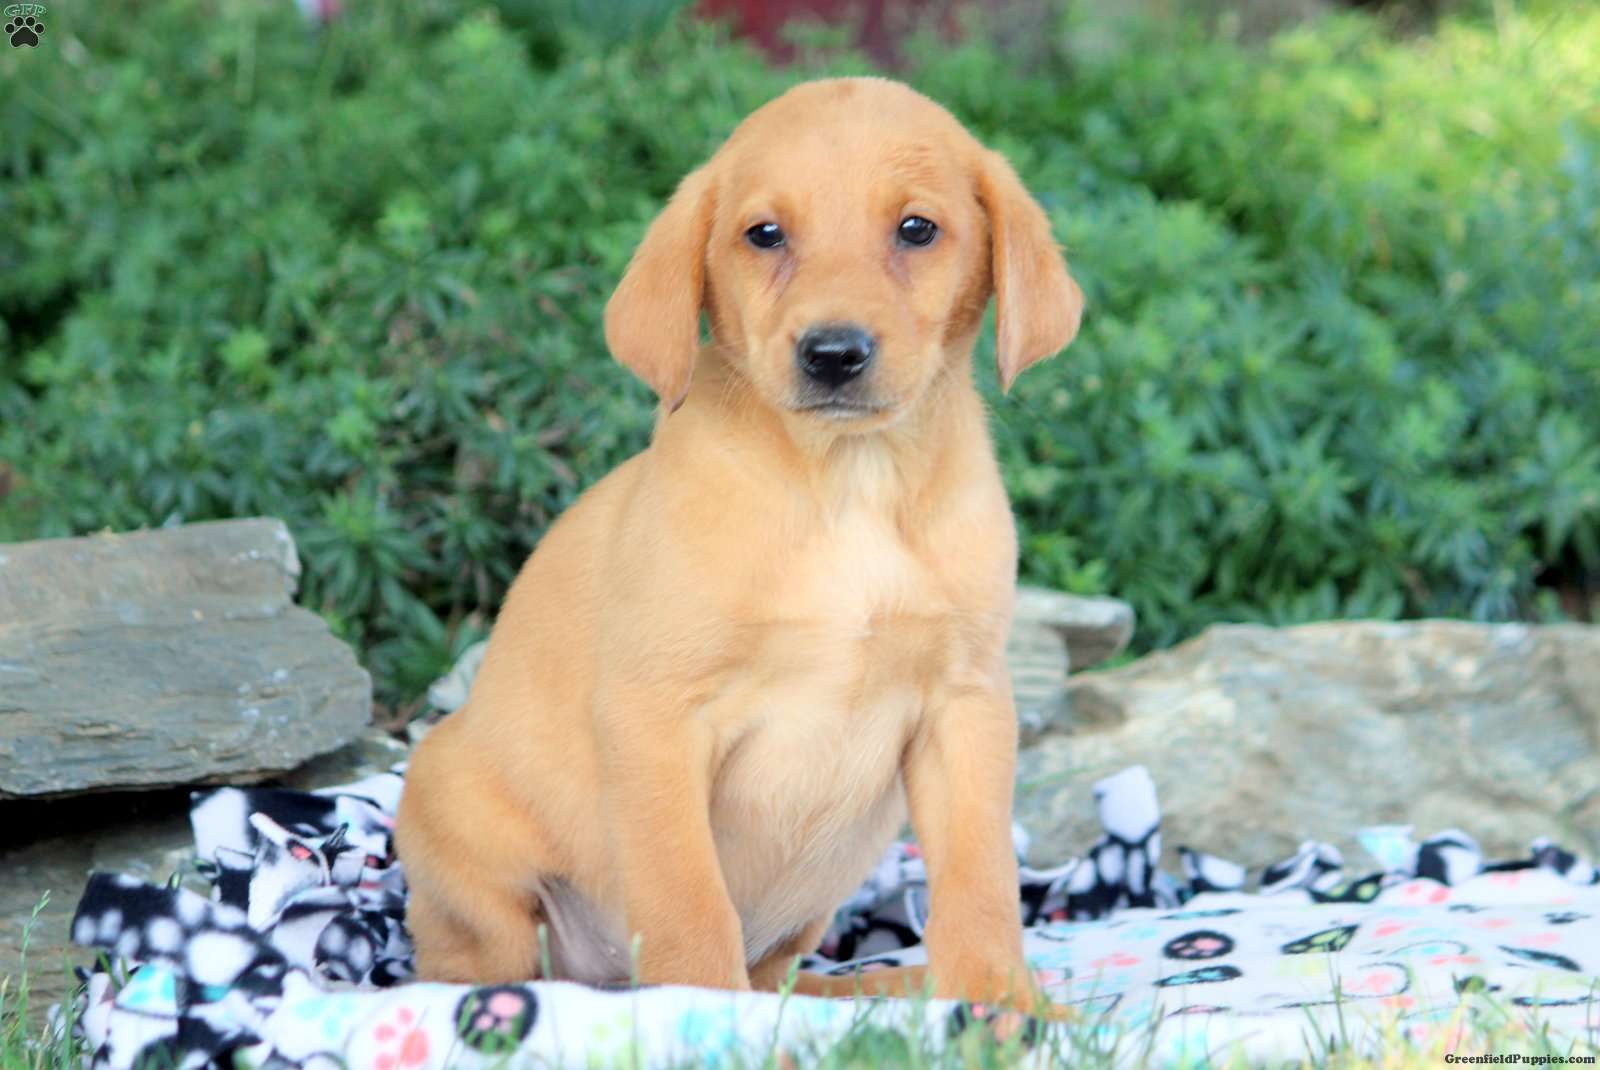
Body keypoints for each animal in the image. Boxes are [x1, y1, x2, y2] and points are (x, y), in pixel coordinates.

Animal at [393, 79, 1081, 1004]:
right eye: (765, 234)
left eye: (917, 229)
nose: (833, 354)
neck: (848, 483)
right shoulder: (658, 715)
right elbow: (687, 902)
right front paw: (703, 1016)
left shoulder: (965, 704)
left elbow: (981, 885)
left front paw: (1000, 1006)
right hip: (454, 815)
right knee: (463, 967)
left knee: (785, 981)